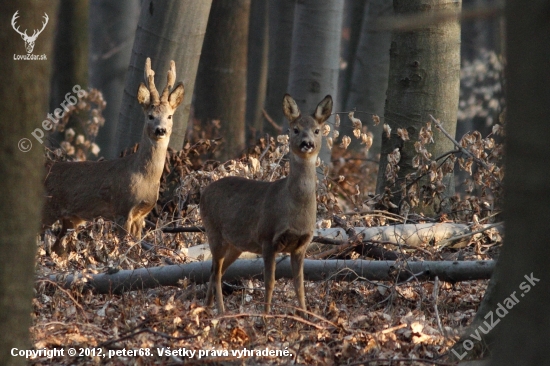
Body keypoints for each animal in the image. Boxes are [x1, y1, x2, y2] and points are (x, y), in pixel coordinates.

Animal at [43, 58, 185, 256]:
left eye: (169, 116)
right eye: (150, 116)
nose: (160, 130)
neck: (143, 177)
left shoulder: (141, 215)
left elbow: (136, 251)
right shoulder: (122, 210)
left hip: (71, 218)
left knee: (57, 249)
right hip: (47, 209)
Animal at [201, 93, 334, 314]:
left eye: (317, 130)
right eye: (294, 129)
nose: (307, 143)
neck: (294, 208)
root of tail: (203, 192)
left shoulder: (302, 244)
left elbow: (300, 285)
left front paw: (306, 316)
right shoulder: (267, 238)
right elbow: (269, 282)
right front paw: (265, 316)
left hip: (236, 244)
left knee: (215, 270)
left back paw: (207, 307)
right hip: (214, 232)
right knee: (217, 272)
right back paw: (220, 311)